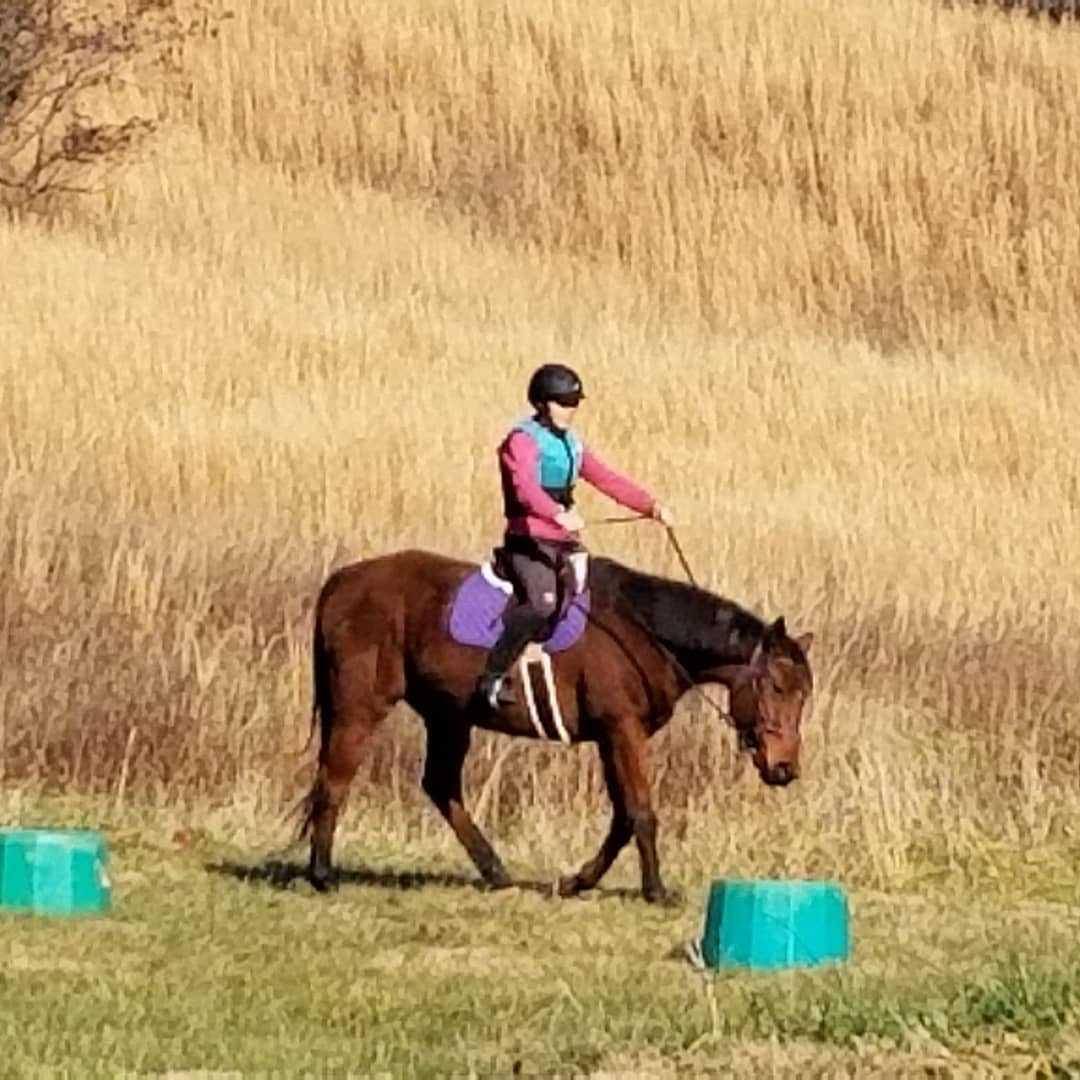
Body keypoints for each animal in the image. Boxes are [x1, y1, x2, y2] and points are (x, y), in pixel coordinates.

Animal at [295, 548, 812, 902]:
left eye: (803, 694)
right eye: (777, 687)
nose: (784, 768)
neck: (642, 631)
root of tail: (342, 581)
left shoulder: (611, 737)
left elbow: (622, 817)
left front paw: (578, 880)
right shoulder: (622, 730)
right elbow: (641, 812)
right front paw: (656, 890)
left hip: (448, 716)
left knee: (439, 784)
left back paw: (496, 872)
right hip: (360, 708)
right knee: (334, 780)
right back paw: (322, 875)